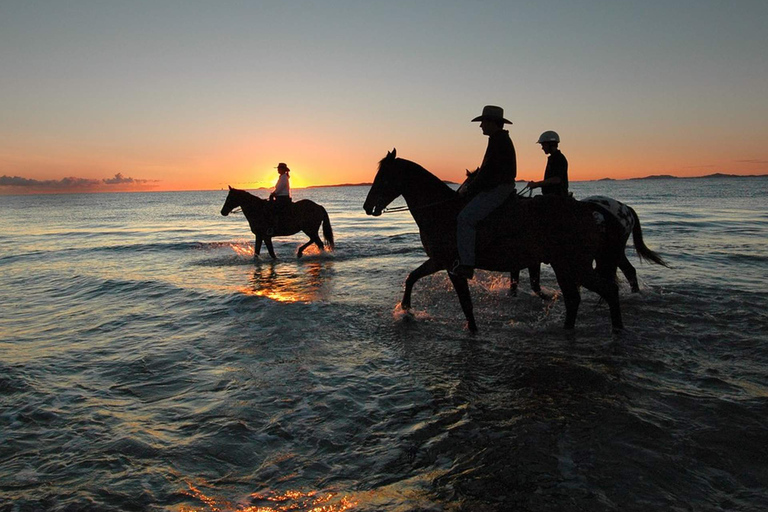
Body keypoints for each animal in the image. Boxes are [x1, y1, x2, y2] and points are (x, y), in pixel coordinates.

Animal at [364, 148, 628, 332]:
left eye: (383, 177)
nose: (367, 206)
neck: (442, 211)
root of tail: (587, 209)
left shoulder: (452, 267)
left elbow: (466, 304)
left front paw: (472, 330)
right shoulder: (439, 261)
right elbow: (412, 277)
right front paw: (406, 309)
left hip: (575, 265)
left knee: (607, 291)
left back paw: (616, 330)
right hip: (565, 266)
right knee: (574, 299)